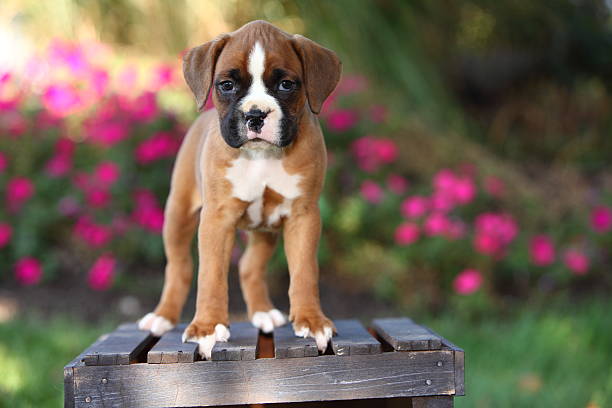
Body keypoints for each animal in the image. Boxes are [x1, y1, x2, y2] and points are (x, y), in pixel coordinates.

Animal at [137, 19, 342, 358]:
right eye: (227, 85)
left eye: (286, 84)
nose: (255, 115)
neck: (261, 156)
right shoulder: (216, 220)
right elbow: (211, 274)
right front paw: (207, 327)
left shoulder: (303, 216)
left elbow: (304, 271)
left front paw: (312, 321)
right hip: (178, 214)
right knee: (179, 267)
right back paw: (162, 317)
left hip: (265, 228)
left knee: (248, 265)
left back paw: (262, 312)